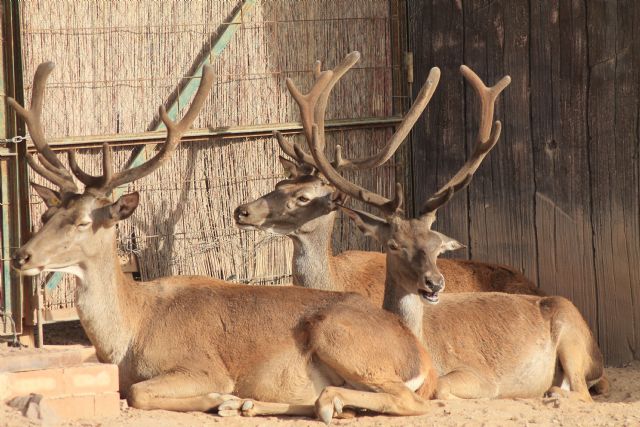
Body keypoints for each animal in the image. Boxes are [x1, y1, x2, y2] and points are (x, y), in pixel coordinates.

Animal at [10, 61, 442, 422]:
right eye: (46, 216)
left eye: (83, 221)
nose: (20, 256)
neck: (127, 339)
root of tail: (420, 355)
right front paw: (231, 401)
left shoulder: (200, 365)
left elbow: (138, 392)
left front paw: (220, 397)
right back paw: (265, 404)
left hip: (342, 338)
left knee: (407, 400)